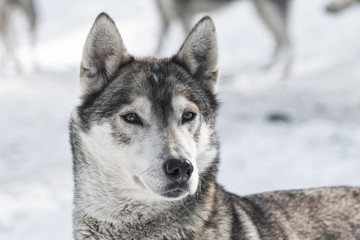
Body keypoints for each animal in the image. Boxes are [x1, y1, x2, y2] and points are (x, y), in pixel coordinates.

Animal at [155, 0, 292, 76]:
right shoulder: (165, 16)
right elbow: (158, 45)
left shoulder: (184, 15)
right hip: (262, 11)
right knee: (279, 39)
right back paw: (271, 66)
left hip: (270, 11)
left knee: (288, 40)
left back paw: (285, 71)